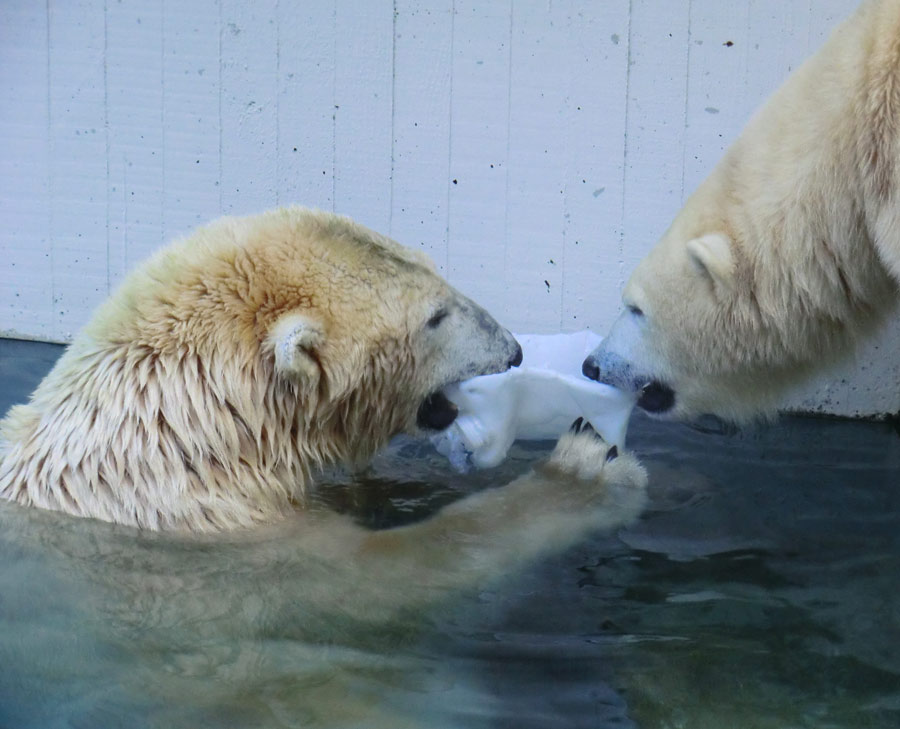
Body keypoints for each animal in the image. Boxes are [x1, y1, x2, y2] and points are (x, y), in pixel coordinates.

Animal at [0, 205, 648, 576]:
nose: (513, 349)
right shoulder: (227, 528)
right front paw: (587, 465)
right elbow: (389, 565)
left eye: (438, 271)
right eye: (435, 317)